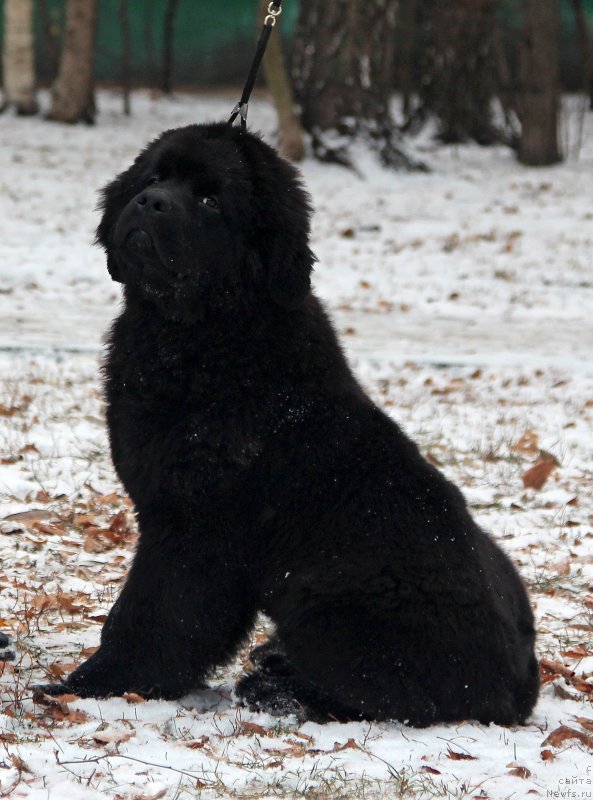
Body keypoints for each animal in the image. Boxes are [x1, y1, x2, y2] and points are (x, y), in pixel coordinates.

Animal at [39, 123, 540, 724]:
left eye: (210, 201)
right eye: (155, 176)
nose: (151, 202)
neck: (203, 337)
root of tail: (522, 684)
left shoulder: (194, 528)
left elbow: (152, 613)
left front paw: (93, 684)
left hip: (331, 613)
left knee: (378, 696)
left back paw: (276, 688)